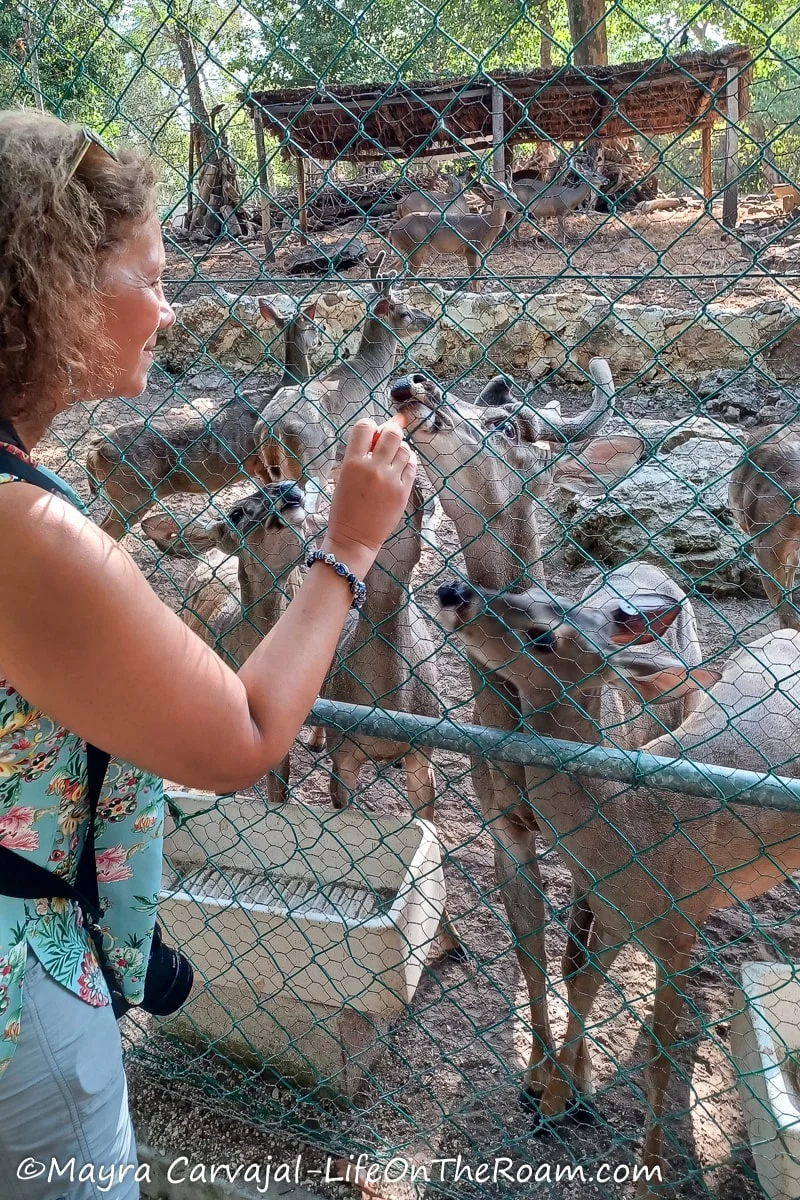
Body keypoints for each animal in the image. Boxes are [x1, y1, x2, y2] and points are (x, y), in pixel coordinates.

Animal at [86, 300, 320, 541]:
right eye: (315, 326)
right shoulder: (263, 464)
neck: (283, 386)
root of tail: (95, 451)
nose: (320, 340)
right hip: (133, 496)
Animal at [389, 177, 523, 291]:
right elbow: (475, 280)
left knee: (392, 267)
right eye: (506, 198)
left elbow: (478, 279)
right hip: (415, 247)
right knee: (408, 276)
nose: (520, 208)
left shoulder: (479, 253)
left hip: (404, 250)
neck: (485, 226)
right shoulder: (471, 250)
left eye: (516, 195)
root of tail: (392, 229)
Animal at [389, 360, 646, 1094]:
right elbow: (530, 951)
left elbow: (581, 962)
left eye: (507, 424)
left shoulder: (608, 844)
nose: (410, 383)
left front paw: (576, 1087)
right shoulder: (503, 820)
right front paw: (535, 1080)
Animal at [435, 571, 800, 1196]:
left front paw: (649, 1174)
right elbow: (578, 981)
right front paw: (554, 1103)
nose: (454, 592)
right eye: (530, 588)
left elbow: (658, 1056)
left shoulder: (679, 930)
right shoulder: (610, 911)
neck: (628, 832)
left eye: (544, 636)